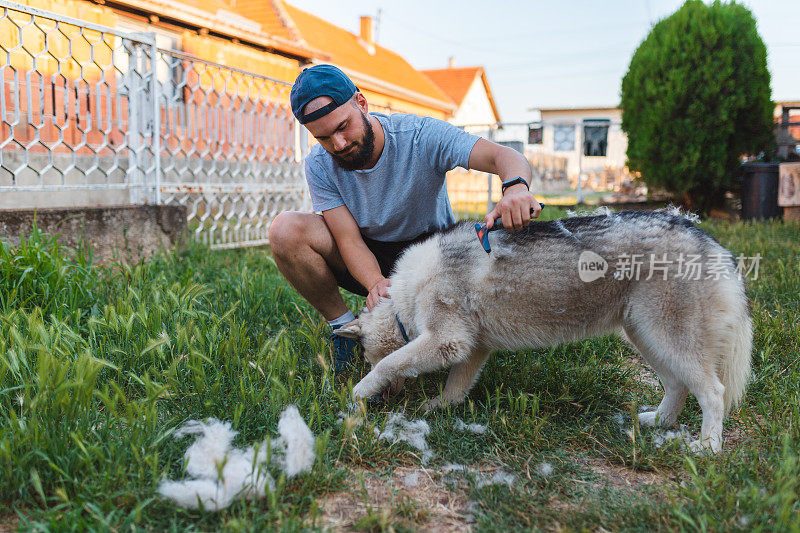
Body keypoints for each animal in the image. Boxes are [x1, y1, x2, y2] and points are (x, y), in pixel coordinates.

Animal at [336, 210, 752, 450]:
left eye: (366, 355)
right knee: (678, 386)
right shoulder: (471, 350)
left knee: (712, 393)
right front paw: (439, 407)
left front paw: (359, 393)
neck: (404, 300)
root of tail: (705, 237)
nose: (382, 404)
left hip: (667, 338)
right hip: (648, 338)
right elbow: (455, 389)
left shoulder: (446, 341)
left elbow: (390, 364)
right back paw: (658, 422)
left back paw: (707, 448)